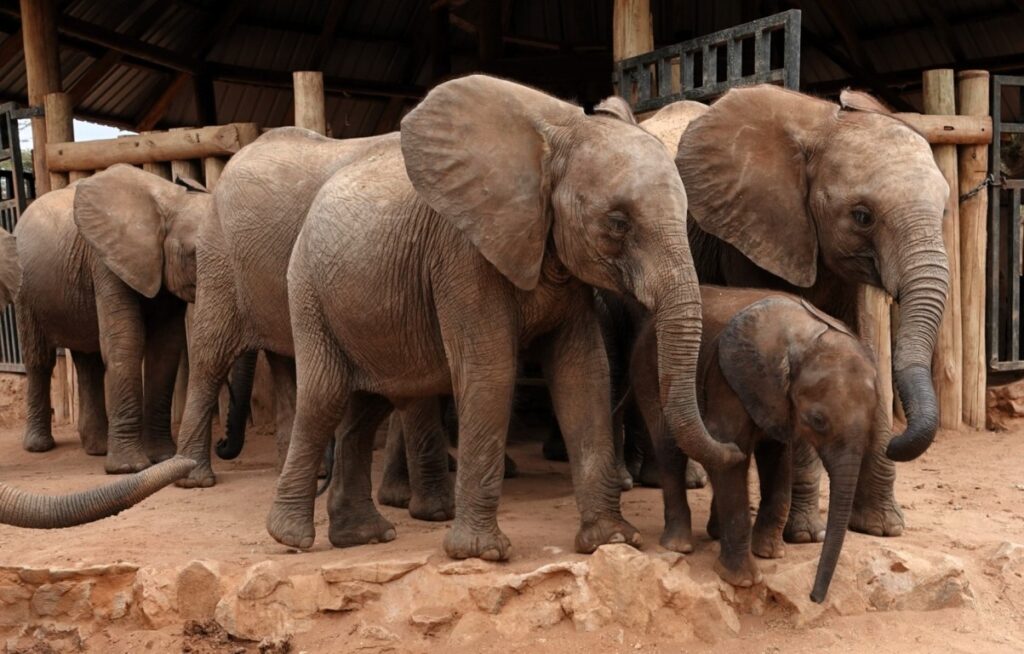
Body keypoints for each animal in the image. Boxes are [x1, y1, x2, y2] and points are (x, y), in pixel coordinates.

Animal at [12, 166, 208, 473]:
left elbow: (165, 348)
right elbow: (125, 341)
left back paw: (97, 448)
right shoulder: (105, 261)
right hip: (25, 291)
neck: (169, 202)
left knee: (88, 361)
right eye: (193, 253)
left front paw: (163, 458)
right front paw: (128, 469)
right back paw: (39, 447)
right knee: (39, 359)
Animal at [267, 74, 743, 561]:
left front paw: (610, 539)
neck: (559, 140)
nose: (736, 450)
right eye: (617, 223)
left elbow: (583, 369)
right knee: (325, 396)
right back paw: (291, 538)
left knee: (368, 407)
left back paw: (364, 536)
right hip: (306, 290)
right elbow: (491, 369)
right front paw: (482, 553)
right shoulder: (462, 253)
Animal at [631, 286, 875, 603]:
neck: (804, 339)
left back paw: (714, 533)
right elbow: (729, 448)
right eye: (817, 420)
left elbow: (778, 457)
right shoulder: (728, 382)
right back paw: (679, 546)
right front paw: (744, 580)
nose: (813, 598)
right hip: (648, 371)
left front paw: (770, 554)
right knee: (670, 448)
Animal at [639, 85, 950, 541]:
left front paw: (882, 527)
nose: (897, 440)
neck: (821, 126)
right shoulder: (751, 232)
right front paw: (803, 534)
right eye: (862, 216)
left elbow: (861, 348)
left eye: (944, 211)